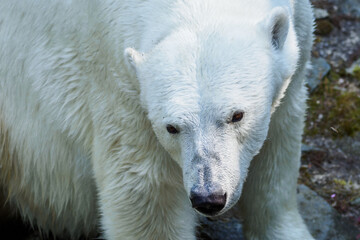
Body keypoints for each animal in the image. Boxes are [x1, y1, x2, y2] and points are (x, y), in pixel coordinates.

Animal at [0, 0, 314, 239]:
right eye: (172, 127)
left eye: (237, 115)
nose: (208, 198)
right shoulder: (120, 83)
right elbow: (147, 192)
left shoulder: (298, 33)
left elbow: (278, 144)